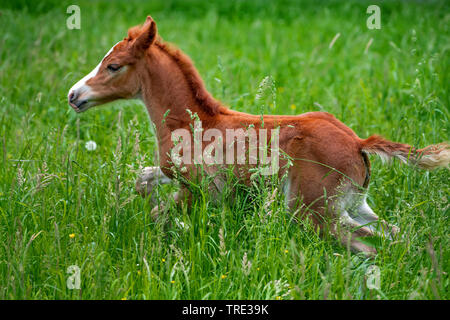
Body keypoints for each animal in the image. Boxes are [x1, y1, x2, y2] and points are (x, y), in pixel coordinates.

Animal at [67, 16, 450, 255]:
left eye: (113, 65)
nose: (74, 95)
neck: (194, 122)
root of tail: (358, 143)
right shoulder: (176, 176)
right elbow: (143, 180)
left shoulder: (197, 191)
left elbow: (159, 213)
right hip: (354, 203)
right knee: (393, 233)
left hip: (312, 209)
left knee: (364, 245)